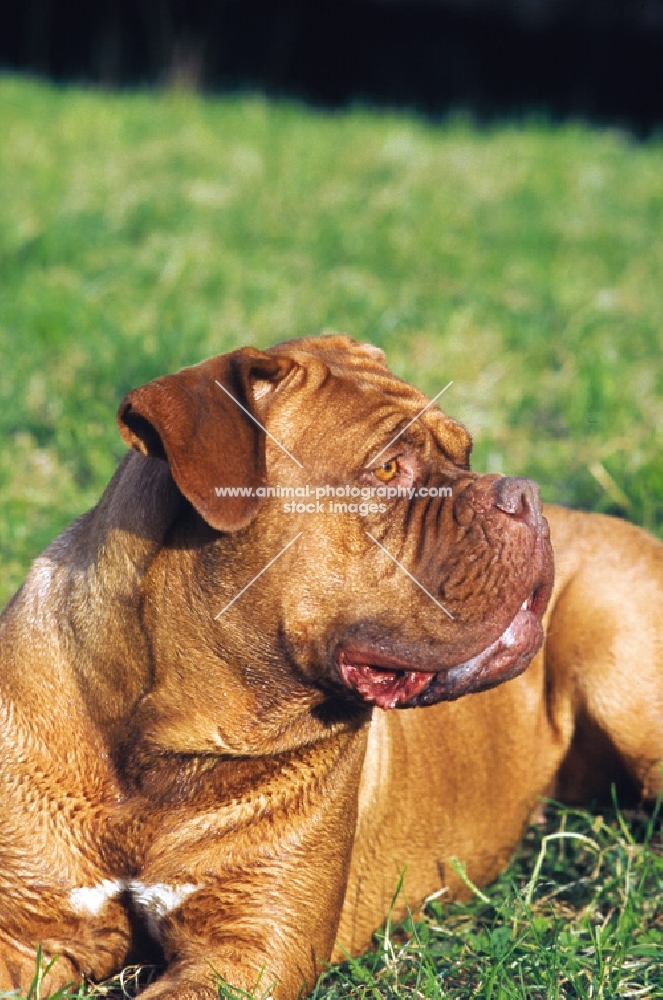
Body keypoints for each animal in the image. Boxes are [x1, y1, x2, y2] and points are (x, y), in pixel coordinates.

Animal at [1, 338, 663, 1000]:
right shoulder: (26, 935)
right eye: (388, 469)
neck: (160, 753)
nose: (525, 494)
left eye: (465, 453)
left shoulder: (251, 949)